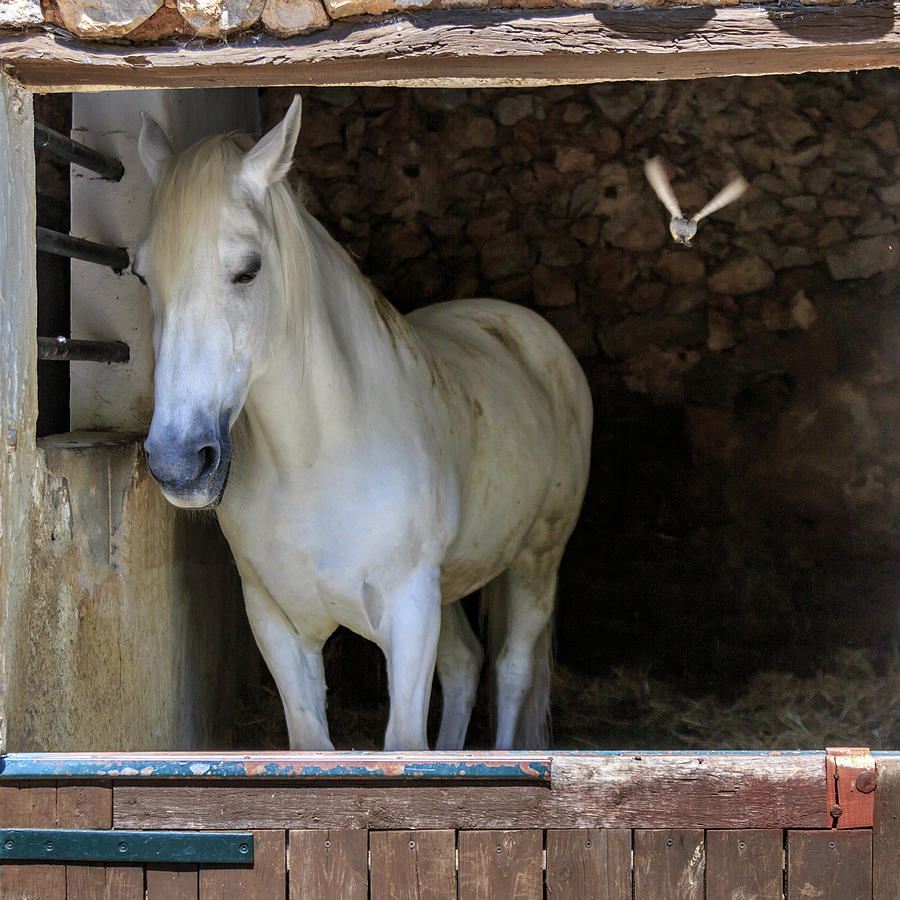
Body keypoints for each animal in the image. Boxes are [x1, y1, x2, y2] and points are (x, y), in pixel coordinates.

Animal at [135, 95, 592, 748]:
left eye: (247, 270)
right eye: (141, 274)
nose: (178, 462)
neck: (313, 464)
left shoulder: (410, 613)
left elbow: (404, 744)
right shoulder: (276, 622)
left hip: (538, 558)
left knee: (511, 669)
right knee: (466, 663)